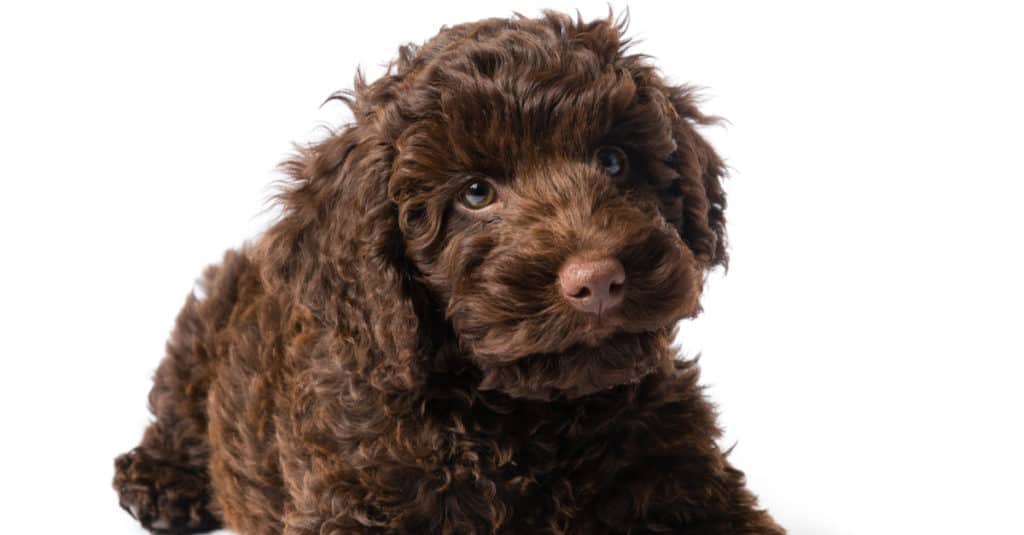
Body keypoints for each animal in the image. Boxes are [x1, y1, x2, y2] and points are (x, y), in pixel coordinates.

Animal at [112, 9, 782, 532]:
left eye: (614, 161)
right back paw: (162, 481)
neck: (532, 419)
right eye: (476, 194)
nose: (596, 282)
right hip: (204, 328)